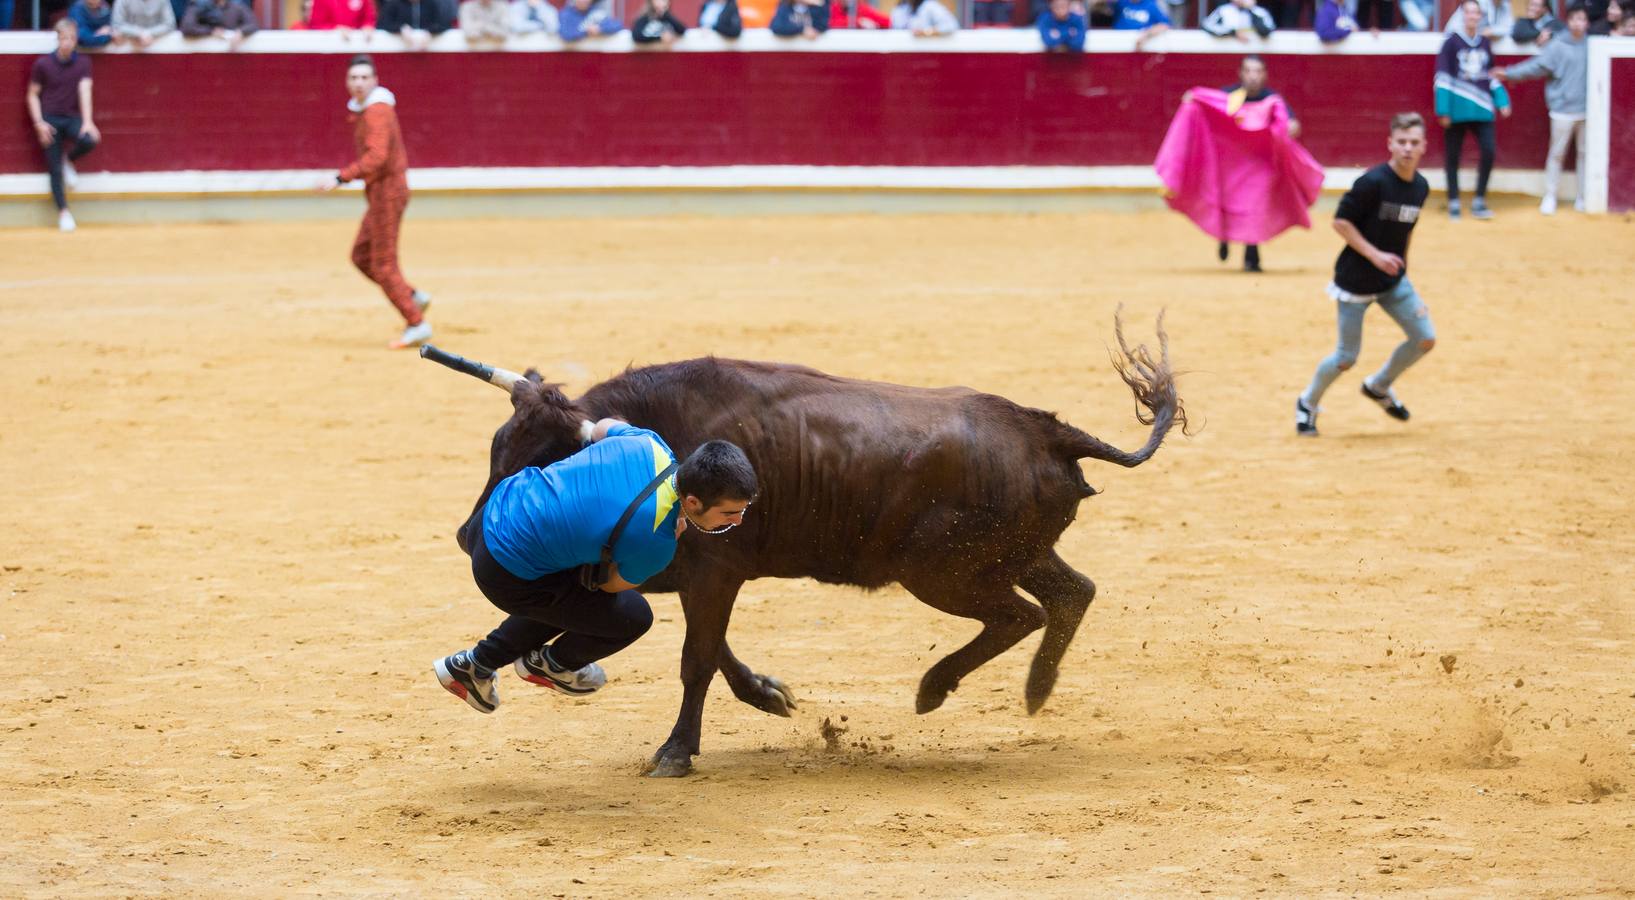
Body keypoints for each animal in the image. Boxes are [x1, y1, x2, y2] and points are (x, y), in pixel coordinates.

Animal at [451, 314, 1190, 778]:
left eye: (536, 455)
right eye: (495, 448)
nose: (465, 536)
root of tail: (1048, 432)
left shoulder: (713, 571)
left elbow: (697, 659)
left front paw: (675, 753)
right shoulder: (695, 575)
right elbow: (712, 649)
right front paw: (769, 695)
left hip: (942, 572)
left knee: (1022, 614)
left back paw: (936, 688)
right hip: (1013, 554)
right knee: (1071, 593)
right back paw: (1033, 690)